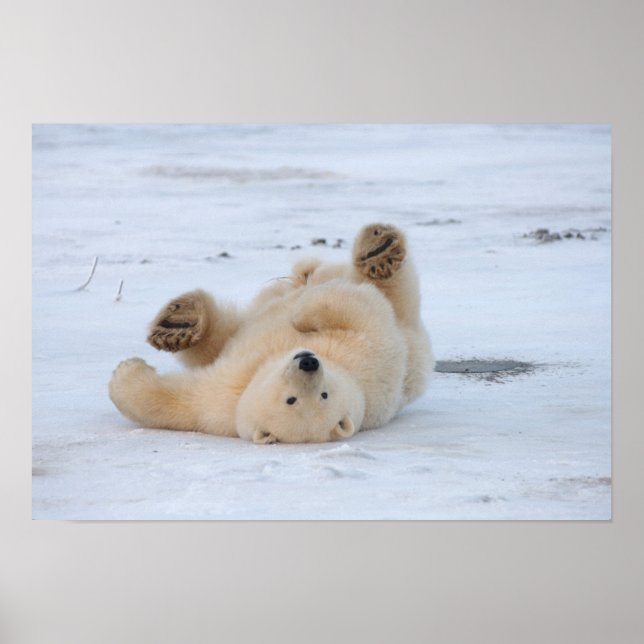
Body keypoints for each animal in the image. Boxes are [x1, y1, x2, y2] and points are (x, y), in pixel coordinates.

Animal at [109, 223, 434, 443]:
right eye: (291, 400)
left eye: (323, 395)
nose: (308, 361)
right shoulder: (224, 398)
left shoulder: (369, 356)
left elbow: (360, 311)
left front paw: (125, 372)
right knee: (227, 331)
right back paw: (179, 324)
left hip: (409, 330)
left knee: (392, 292)